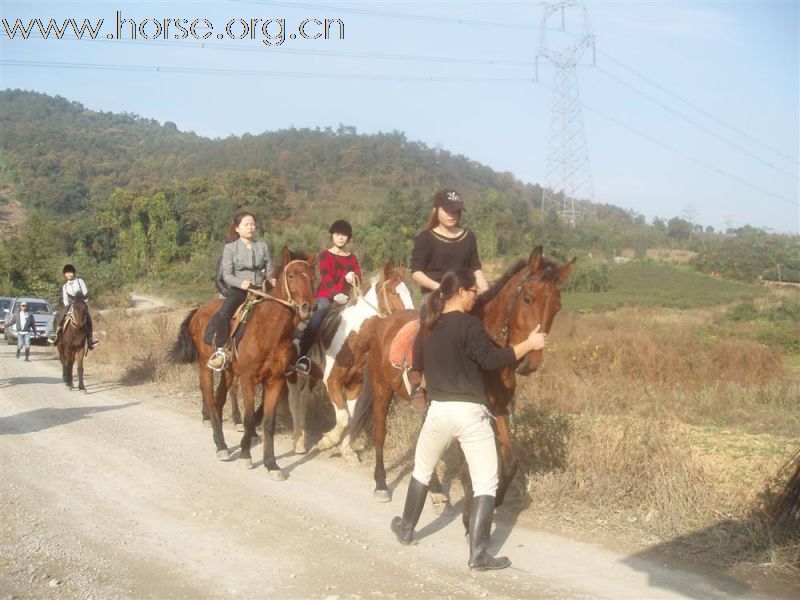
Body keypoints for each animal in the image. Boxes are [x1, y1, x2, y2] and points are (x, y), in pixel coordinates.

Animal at [169, 247, 316, 478]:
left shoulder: (275, 380)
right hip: (205, 366)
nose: (308, 307)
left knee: (219, 399)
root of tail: (198, 312)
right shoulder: (248, 379)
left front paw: (271, 464)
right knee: (210, 398)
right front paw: (246, 455)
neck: (269, 331)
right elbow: (248, 418)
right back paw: (221, 446)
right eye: (291, 275)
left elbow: (268, 422)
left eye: (312, 277)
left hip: (229, 373)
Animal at [286, 262, 412, 454]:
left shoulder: (355, 385)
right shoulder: (332, 382)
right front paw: (327, 441)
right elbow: (344, 417)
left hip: (312, 374)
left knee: (303, 398)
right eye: (393, 292)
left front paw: (342, 448)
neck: (353, 340)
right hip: (290, 372)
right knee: (293, 401)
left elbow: (351, 418)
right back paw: (298, 442)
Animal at [346, 247, 572, 524]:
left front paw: (496, 500)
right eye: (528, 299)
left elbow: (509, 462)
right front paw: (468, 516)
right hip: (382, 390)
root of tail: (384, 323)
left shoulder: (497, 410)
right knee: (380, 434)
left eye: (558, 306)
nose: (531, 362)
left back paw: (435, 491)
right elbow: (467, 469)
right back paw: (381, 484)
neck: (489, 350)